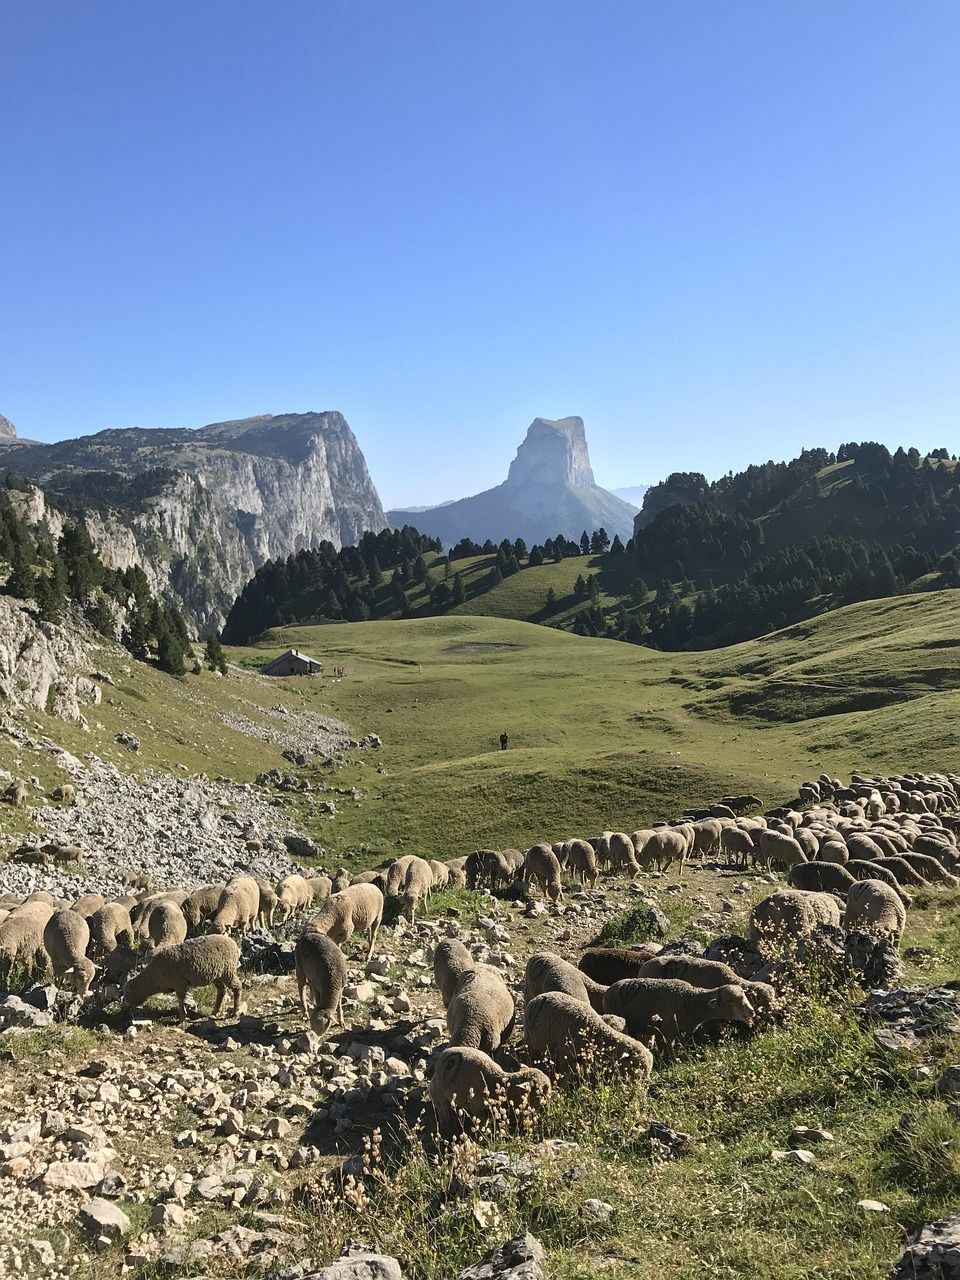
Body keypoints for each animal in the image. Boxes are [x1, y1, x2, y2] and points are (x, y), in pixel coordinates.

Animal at [524, 991, 654, 1081]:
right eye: (635, 1066)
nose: (641, 1088)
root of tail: (537, 997)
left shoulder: (584, 1057)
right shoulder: (566, 1054)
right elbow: (565, 1075)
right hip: (531, 1042)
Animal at [603, 978, 756, 1050]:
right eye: (730, 1000)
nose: (752, 1011)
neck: (688, 1000)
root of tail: (610, 989)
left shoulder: (679, 1032)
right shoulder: (667, 1032)